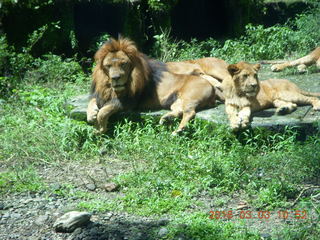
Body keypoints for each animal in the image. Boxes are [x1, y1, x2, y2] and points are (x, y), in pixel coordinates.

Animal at [87, 37, 218, 135]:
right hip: (176, 100)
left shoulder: (128, 102)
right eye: (108, 66)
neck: (110, 88)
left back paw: (178, 130)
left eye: (123, 64)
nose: (115, 78)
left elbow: (104, 111)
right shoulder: (100, 94)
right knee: (179, 111)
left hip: (190, 97)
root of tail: (211, 87)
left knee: (190, 113)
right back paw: (166, 118)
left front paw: (100, 128)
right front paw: (91, 115)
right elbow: (92, 102)